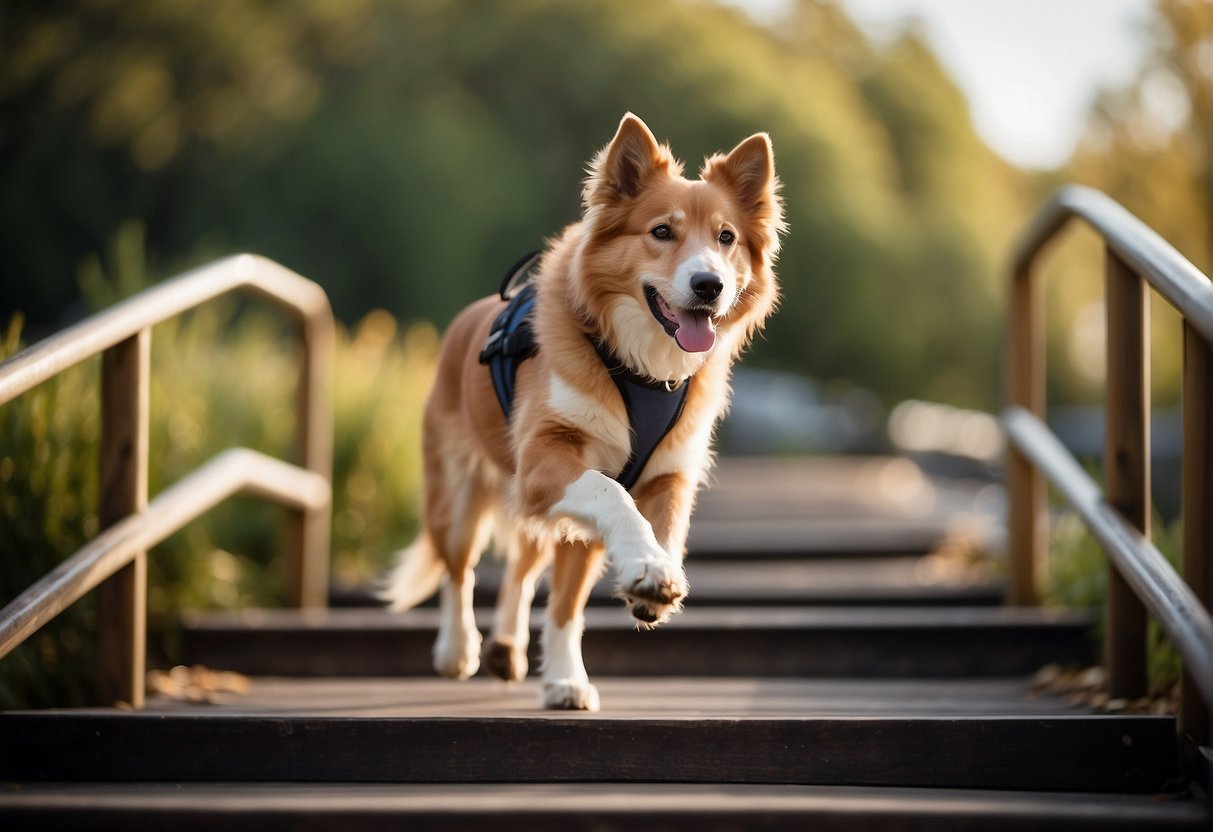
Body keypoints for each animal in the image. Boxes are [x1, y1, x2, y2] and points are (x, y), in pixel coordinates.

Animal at [383, 112, 790, 708]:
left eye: (726, 238)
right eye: (661, 232)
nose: (709, 285)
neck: (640, 364)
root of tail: (463, 321)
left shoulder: (667, 474)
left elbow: (628, 557)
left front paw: (648, 583)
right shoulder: (546, 460)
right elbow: (613, 498)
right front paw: (646, 566)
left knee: (526, 569)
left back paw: (509, 648)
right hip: (457, 497)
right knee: (460, 569)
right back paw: (458, 649)